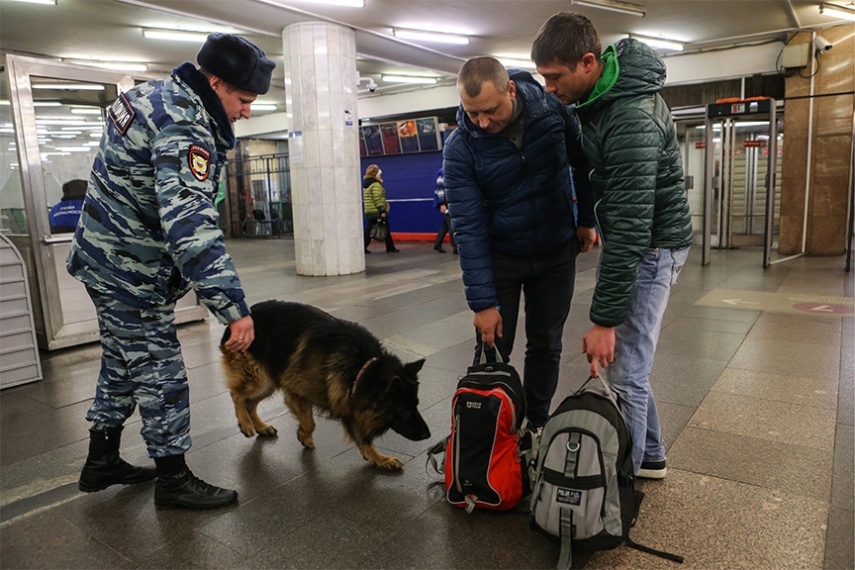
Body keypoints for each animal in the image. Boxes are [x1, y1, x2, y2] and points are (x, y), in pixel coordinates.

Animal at [221, 300, 432, 468]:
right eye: (404, 410)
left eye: (416, 405)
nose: (428, 435)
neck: (362, 370)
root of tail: (241, 318)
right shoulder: (299, 392)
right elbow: (310, 423)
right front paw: (304, 436)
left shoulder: (349, 401)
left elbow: (363, 438)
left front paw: (378, 457)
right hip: (260, 379)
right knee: (237, 396)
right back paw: (246, 424)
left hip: (269, 381)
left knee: (250, 403)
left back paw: (260, 426)